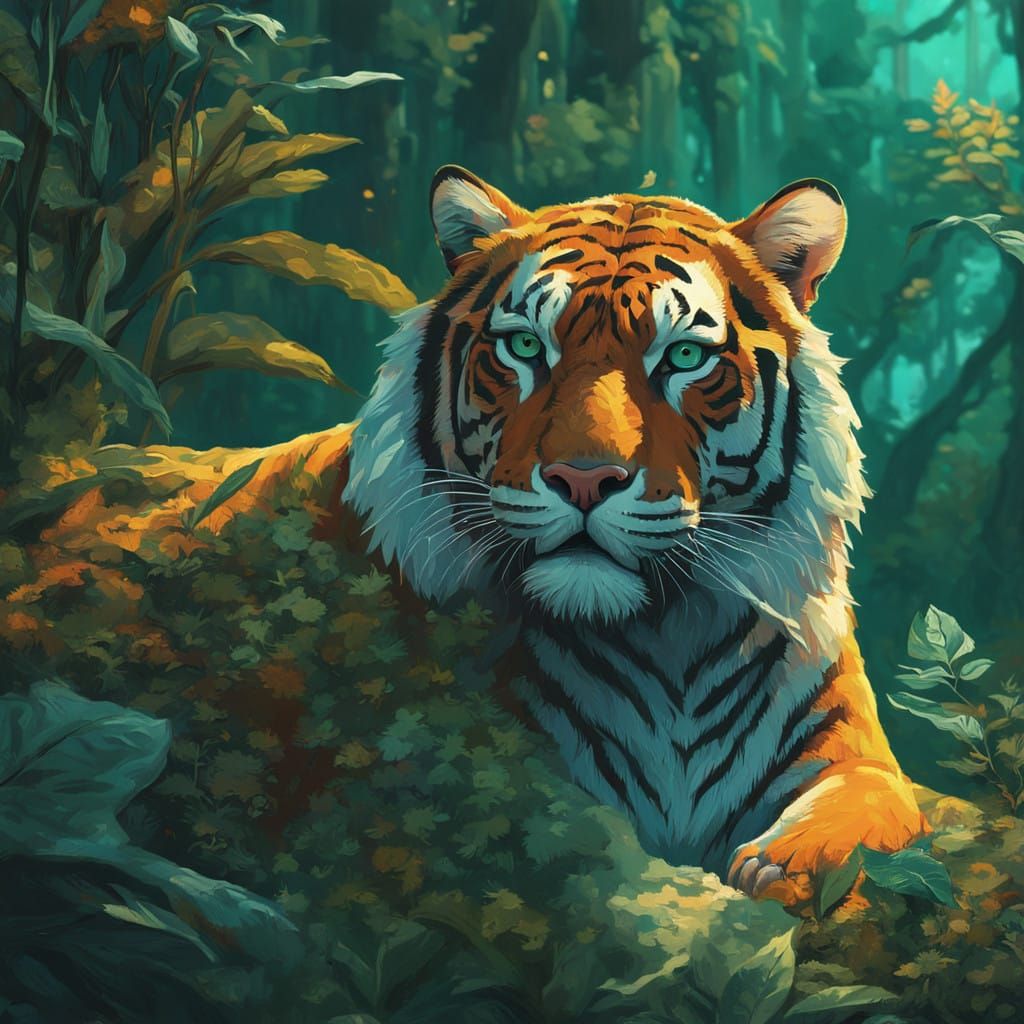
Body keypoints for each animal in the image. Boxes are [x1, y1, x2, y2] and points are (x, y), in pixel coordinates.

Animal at [337, 165, 926, 907]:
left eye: (683, 357)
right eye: (525, 346)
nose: (584, 479)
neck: (670, 641)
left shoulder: (860, 756)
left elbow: (859, 803)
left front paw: (781, 863)